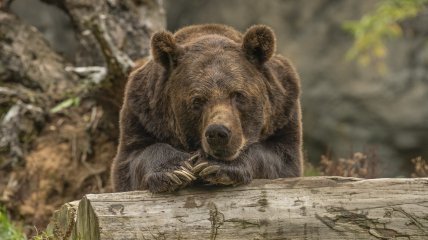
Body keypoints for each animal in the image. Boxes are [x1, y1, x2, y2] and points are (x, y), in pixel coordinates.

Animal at [112, 23, 302, 193]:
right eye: (197, 100)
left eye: (238, 94)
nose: (218, 133)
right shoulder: (142, 114)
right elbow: (132, 159)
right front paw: (176, 170)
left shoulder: (284, 111)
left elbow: (281, 158)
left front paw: (215, 166)